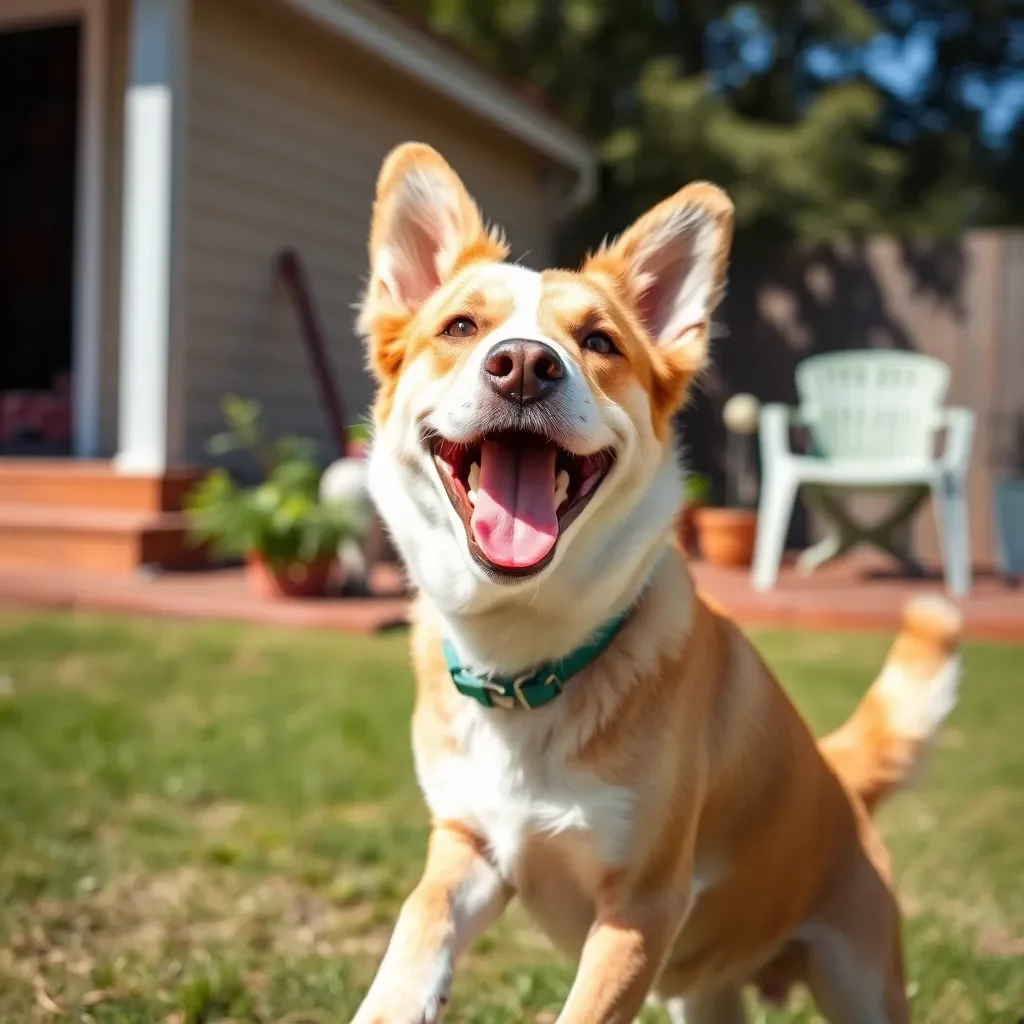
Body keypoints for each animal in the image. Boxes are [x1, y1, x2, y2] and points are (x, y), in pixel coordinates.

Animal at [350, 144, 958, 1024]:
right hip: (705, 997)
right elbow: (412, 935)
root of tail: (839, 781)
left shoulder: (643, 905)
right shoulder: (466, 847)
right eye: (461, 327)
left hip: (859, 977)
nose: (524, 364)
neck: (528, 662)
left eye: (598, 340)